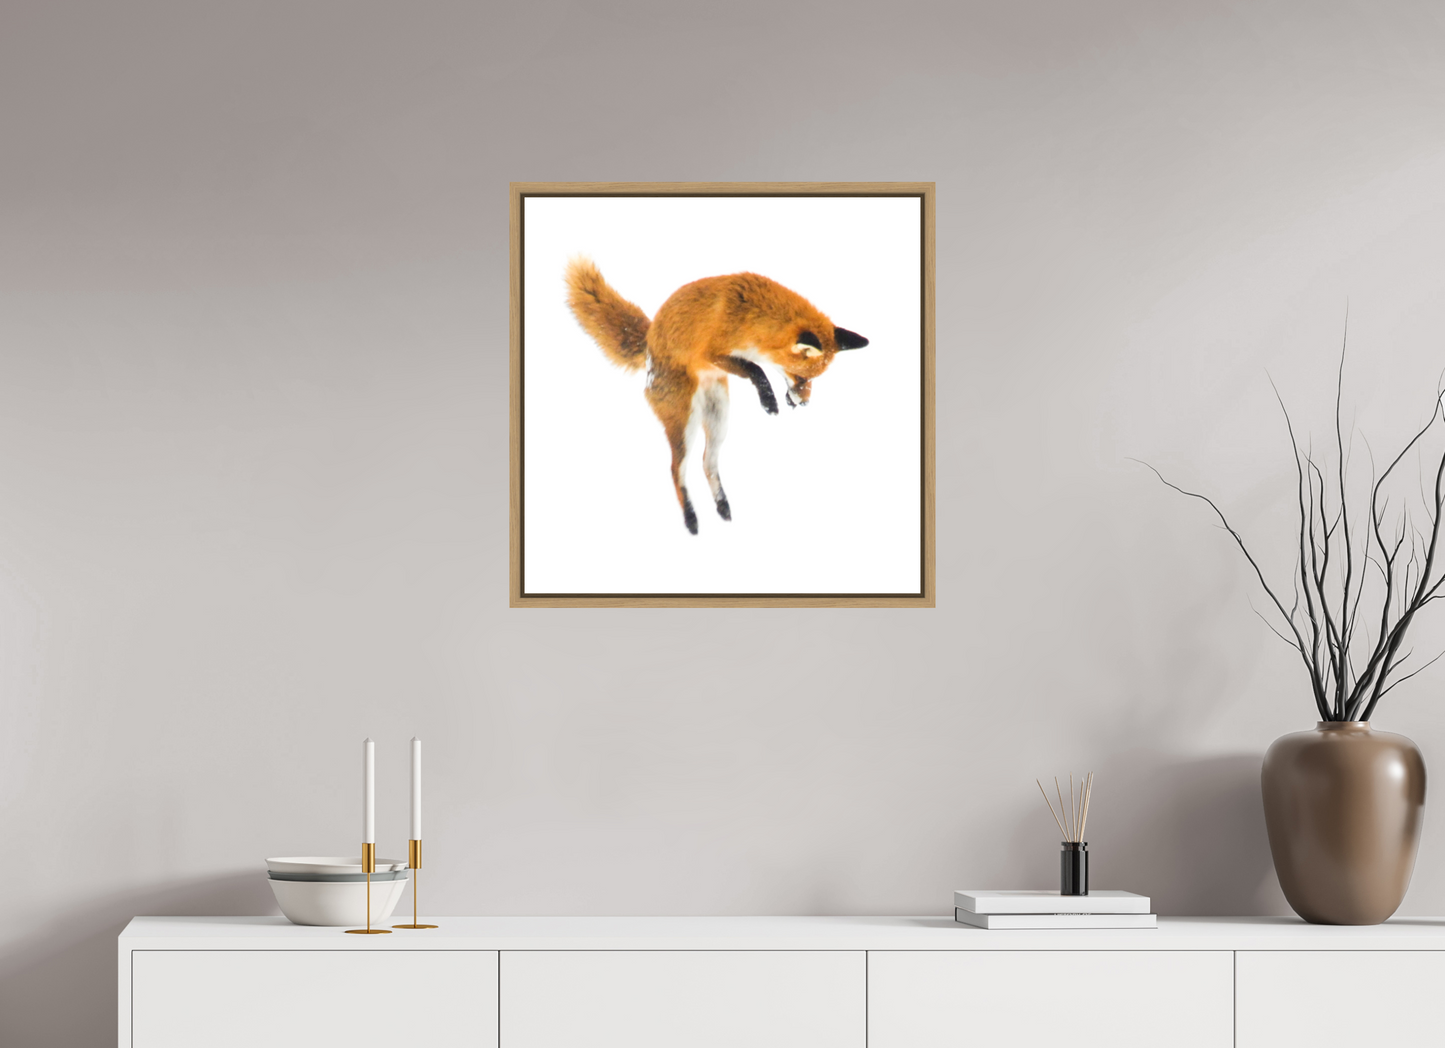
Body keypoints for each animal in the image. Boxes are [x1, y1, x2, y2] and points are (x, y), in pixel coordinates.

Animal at [564, 257, 868, 534]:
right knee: (676, 469)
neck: (753, 315)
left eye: (812, 380)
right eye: (802, 378)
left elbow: (756, 368)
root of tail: (649, 343)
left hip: (719, 418)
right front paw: (768, 400)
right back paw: (690, 519)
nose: (804, 403)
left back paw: (722, 505)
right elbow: (756, 369)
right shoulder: (713, 352)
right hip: (685, 423)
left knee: (707, 463)